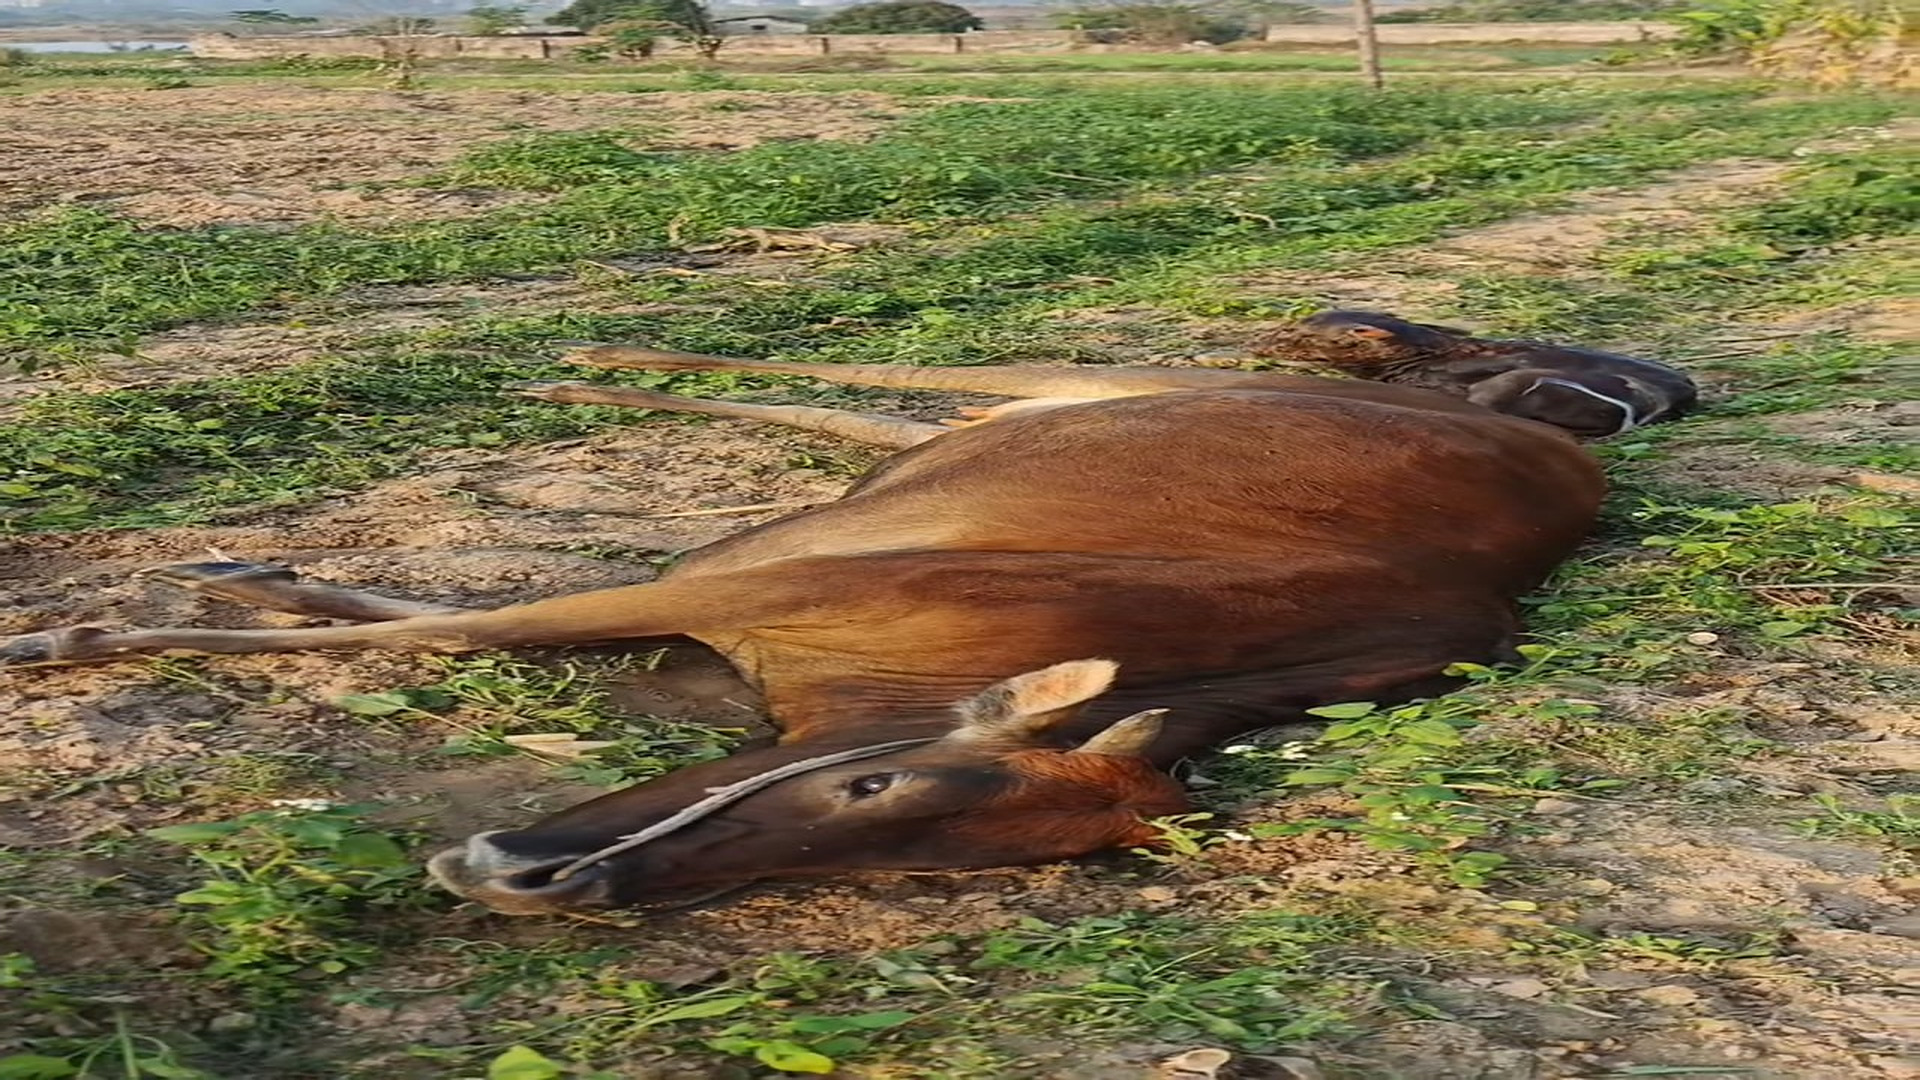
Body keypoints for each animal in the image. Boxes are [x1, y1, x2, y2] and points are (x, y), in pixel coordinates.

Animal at [1, 348, 1606, 916]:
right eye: (871, 785)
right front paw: (69, 644)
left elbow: (433, 623)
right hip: (1087, 387)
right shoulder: (724, 589)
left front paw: (245, 581)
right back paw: (573, 373)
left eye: (907, 869)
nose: (542, 884)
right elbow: (444, 631)